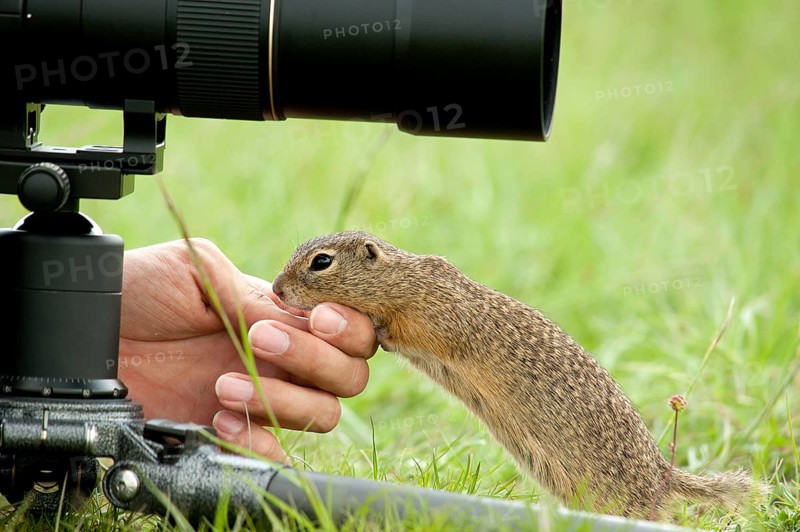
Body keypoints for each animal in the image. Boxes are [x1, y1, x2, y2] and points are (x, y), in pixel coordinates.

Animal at [271, 231, 760, 520]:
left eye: (321, 262)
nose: (275, 291)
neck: (404, 280)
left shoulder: (435, 316)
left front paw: (377, 330)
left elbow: (406, 331)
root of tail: (663, 473)